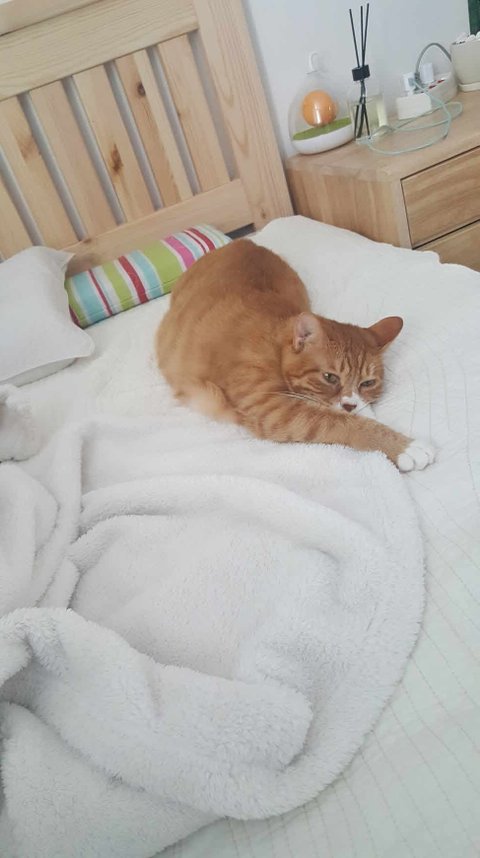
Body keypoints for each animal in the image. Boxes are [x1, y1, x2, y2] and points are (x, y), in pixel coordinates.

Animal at [155, 239, 434, 472]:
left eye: (367, 383)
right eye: (330, 377)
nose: (349, 405)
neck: (276, 345)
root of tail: (243, 240)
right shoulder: (273, 409)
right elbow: (342, 422)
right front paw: (404, 447)